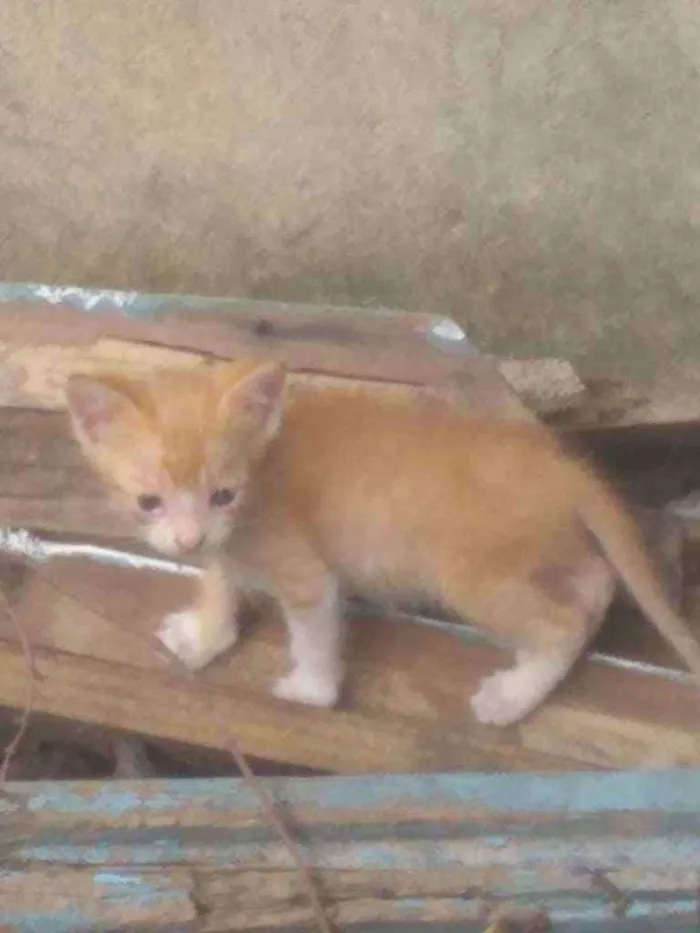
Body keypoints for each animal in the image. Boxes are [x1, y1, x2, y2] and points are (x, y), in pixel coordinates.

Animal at [64, 360, 700, 724]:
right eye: (149, 502)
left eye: (224, 494)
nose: (189, 536)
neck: (266, 463)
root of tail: (564, 469)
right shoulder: (227, 547)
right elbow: (220, 579)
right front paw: (203, 637)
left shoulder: (302, 569)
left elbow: (314, 633)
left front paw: (312, 691)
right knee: (597, 583)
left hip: (471, 575)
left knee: (566, 622)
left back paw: (513, 697)